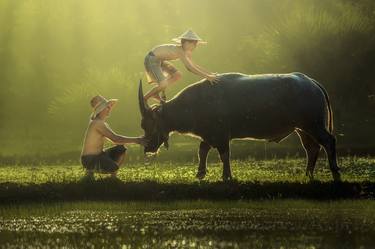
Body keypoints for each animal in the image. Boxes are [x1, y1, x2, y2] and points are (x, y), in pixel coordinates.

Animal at [140, 72, 342, 181]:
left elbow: (224, 155)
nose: (147, 147)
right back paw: (308, 175)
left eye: (149, 124)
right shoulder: (209, 134)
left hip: (314, 124)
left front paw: (226, 176)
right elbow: (202, 150)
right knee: (312, 148)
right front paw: (200, 173)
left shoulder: (221, 135)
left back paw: (335, 173)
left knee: (328, 141)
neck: (197, 103)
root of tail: (311, 82)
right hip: (302, 129)